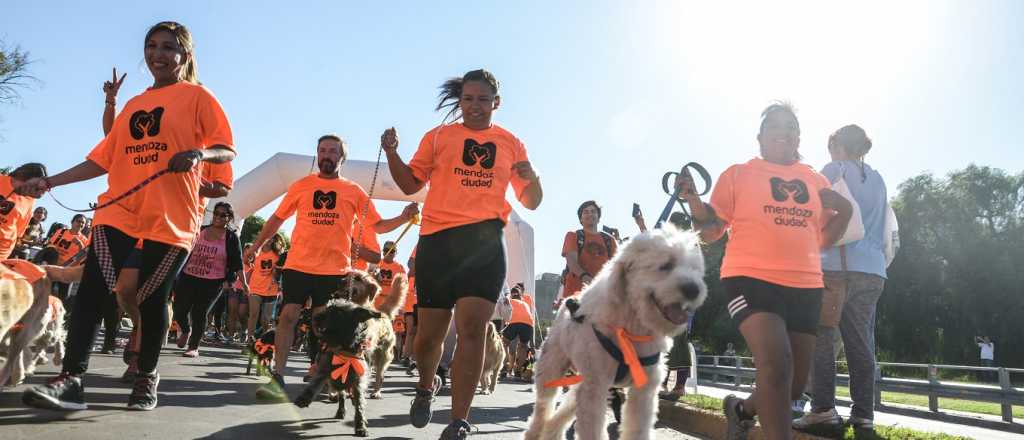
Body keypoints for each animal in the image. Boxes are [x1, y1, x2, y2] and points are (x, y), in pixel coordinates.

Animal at [292, 298, 385, 435]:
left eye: (338, 312)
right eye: (327, 308)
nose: (316, 318)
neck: (344, 349)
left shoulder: (358, 380)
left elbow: (359, 404)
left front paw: (360, 426)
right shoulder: (324, 369)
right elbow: (314, 384)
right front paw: (304, 399)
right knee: (340, 394)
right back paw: (339, 408)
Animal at [528, 227, 704, 440]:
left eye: (694, 269)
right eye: (666, 265)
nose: (694, 290)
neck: (632, 327)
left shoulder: (643, 391)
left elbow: (637, 428)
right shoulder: (596, 388)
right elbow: (592, 429)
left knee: (565, 407)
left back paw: (551, 432)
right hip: (551, 368)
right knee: (543, 406)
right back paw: (535, 432)